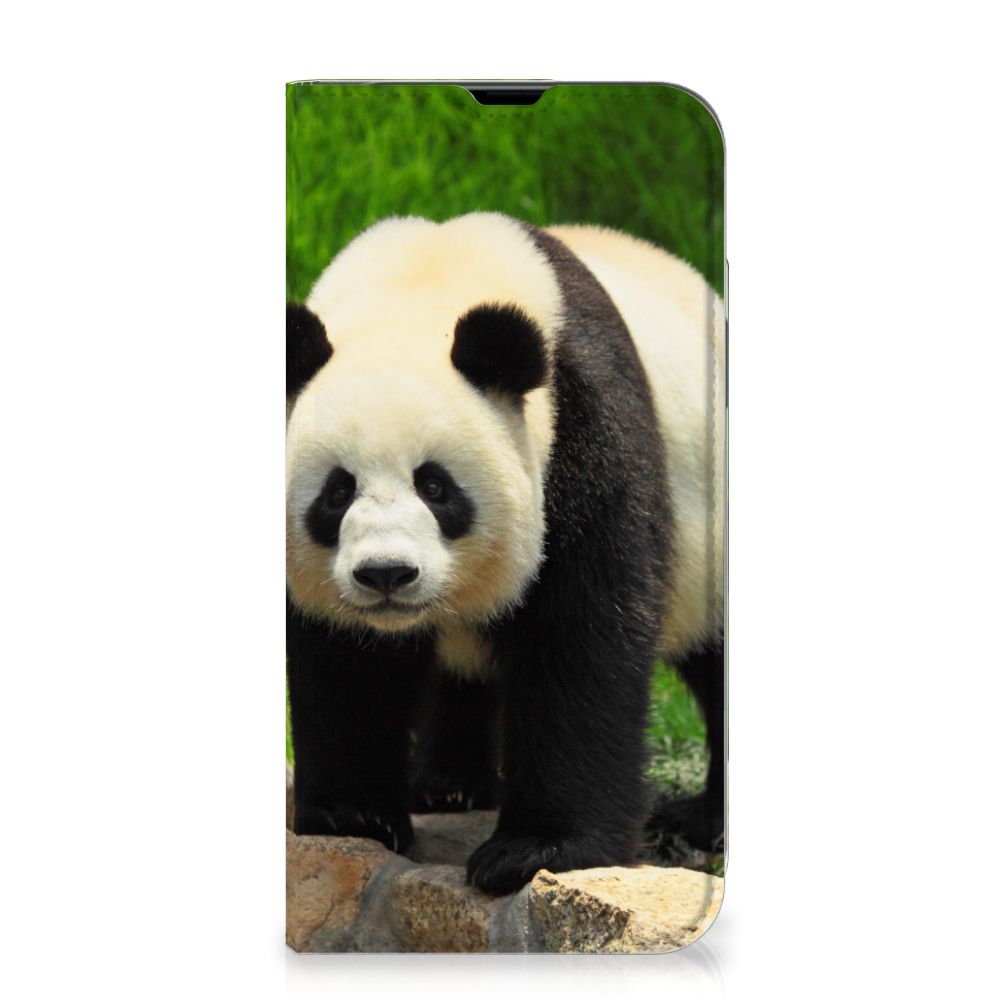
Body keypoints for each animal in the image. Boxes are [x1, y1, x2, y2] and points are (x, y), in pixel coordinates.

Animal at [286, 212, 725, 895]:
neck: (421, 285)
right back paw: (448, 786)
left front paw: (537, 850)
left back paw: (702, 821)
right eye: (337, 492)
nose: (386, 574)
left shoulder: (583, 428)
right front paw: (351, 815)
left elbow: (580, 636)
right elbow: (345, 660)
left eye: (435, 486)